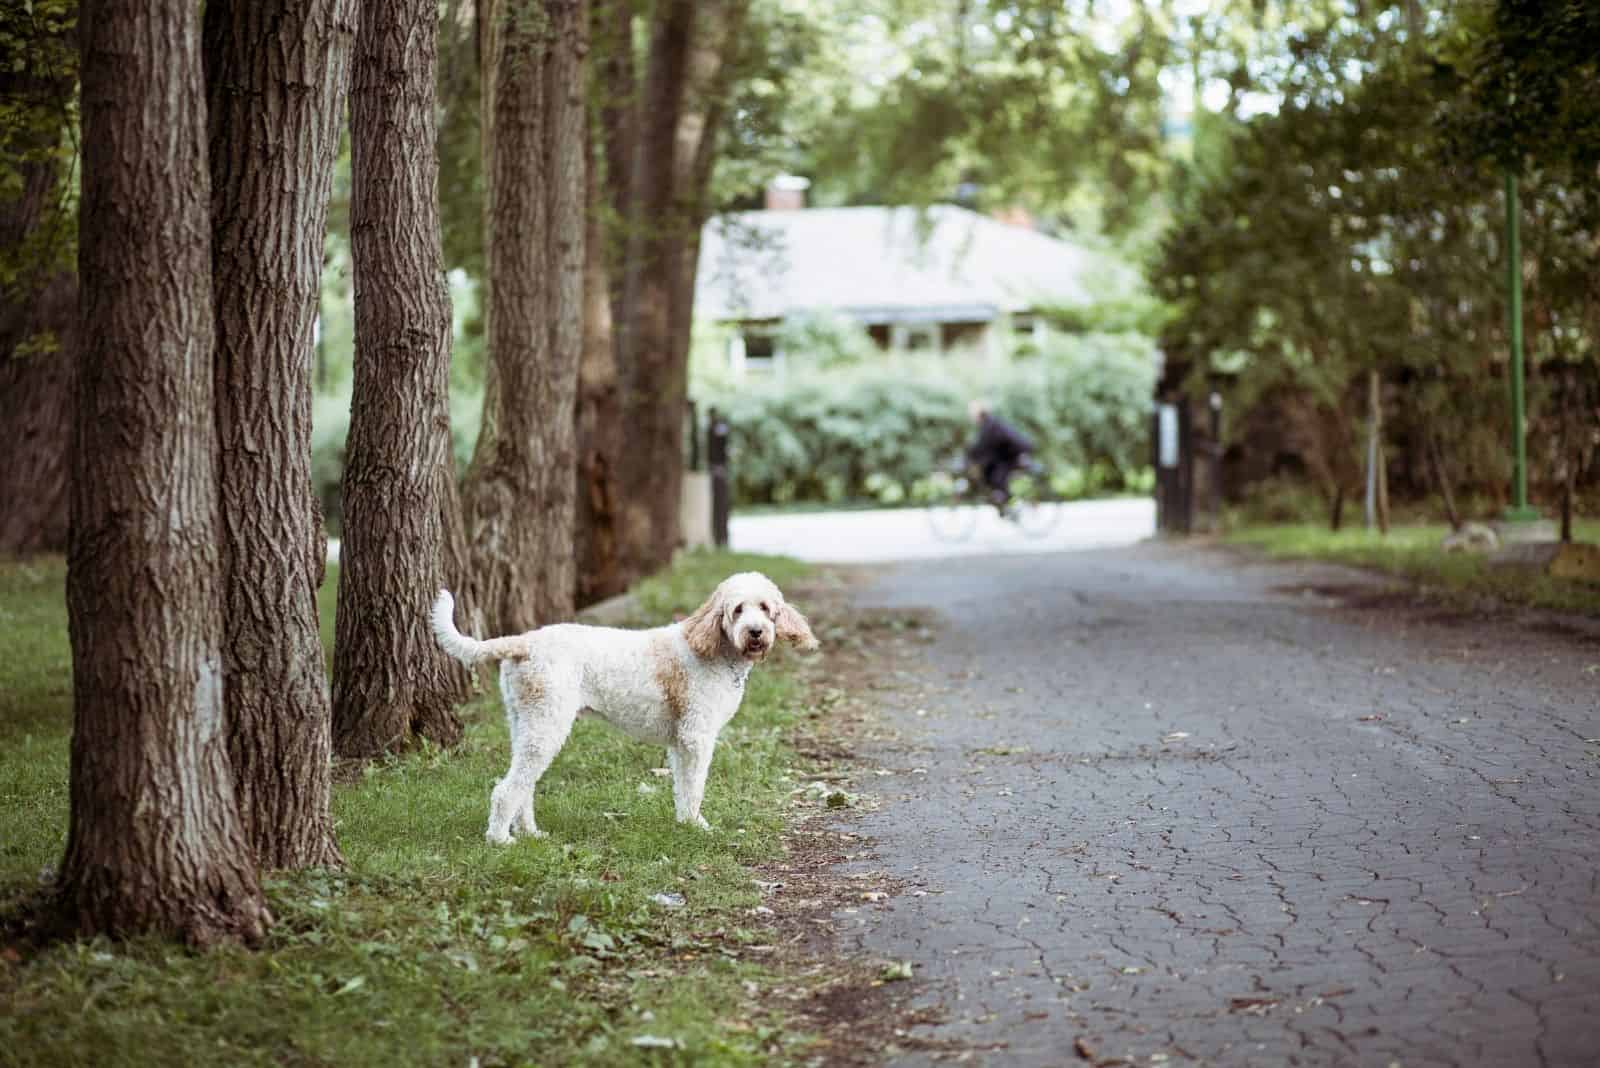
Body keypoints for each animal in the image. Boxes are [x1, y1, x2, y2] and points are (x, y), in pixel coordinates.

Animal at [432, 565, 819, 844]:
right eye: (738, 609)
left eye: (766, 608)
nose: (756, 632)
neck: (715, 649)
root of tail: (523, 642)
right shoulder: (697, 738)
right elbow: (694, 786)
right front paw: (699, 826)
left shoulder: (680, 744)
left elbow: (681, 787)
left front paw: (684, 824)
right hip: (547, 725)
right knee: (507, 789)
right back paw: (500, 840)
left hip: (524, 723)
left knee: (523, 786)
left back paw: (530, 833)